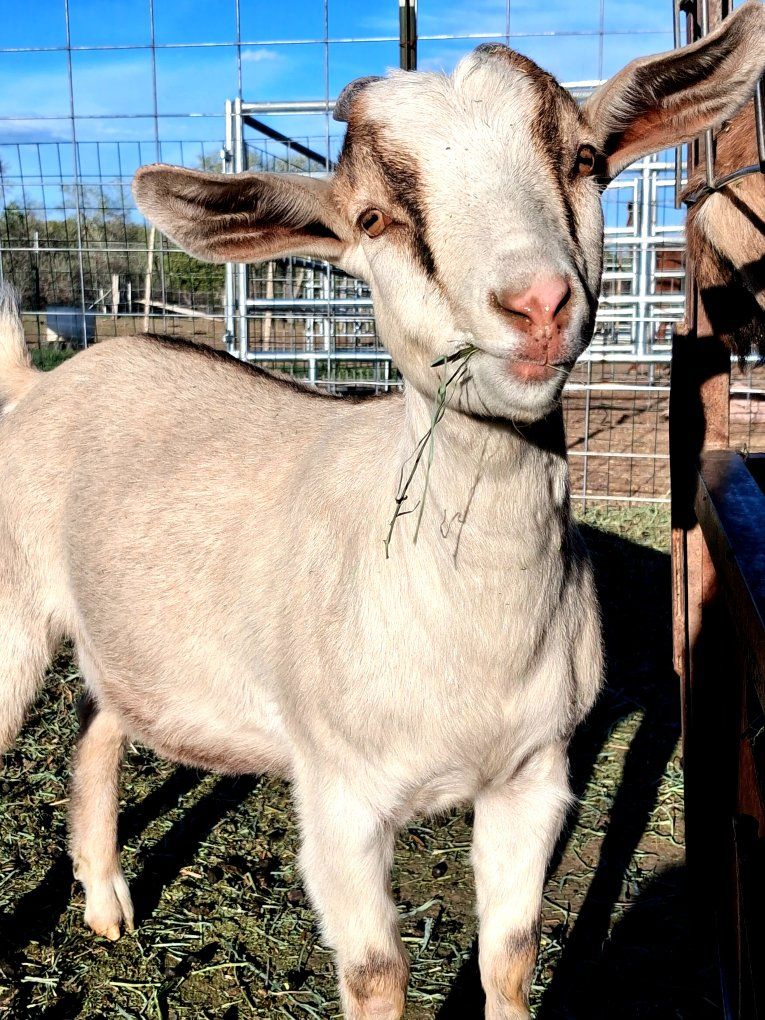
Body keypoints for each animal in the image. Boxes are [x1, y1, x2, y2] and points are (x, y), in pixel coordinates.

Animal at [1, 5, 764, 1018]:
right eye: (371, 219)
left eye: (585, 160)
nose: (536, 303)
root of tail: (35, 385)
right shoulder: (339, 797)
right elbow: (375, 975)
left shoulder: (533, 776)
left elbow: (511, 953)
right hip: (11, 609)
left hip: (127, 639)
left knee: (97, 729)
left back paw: (105, 903)